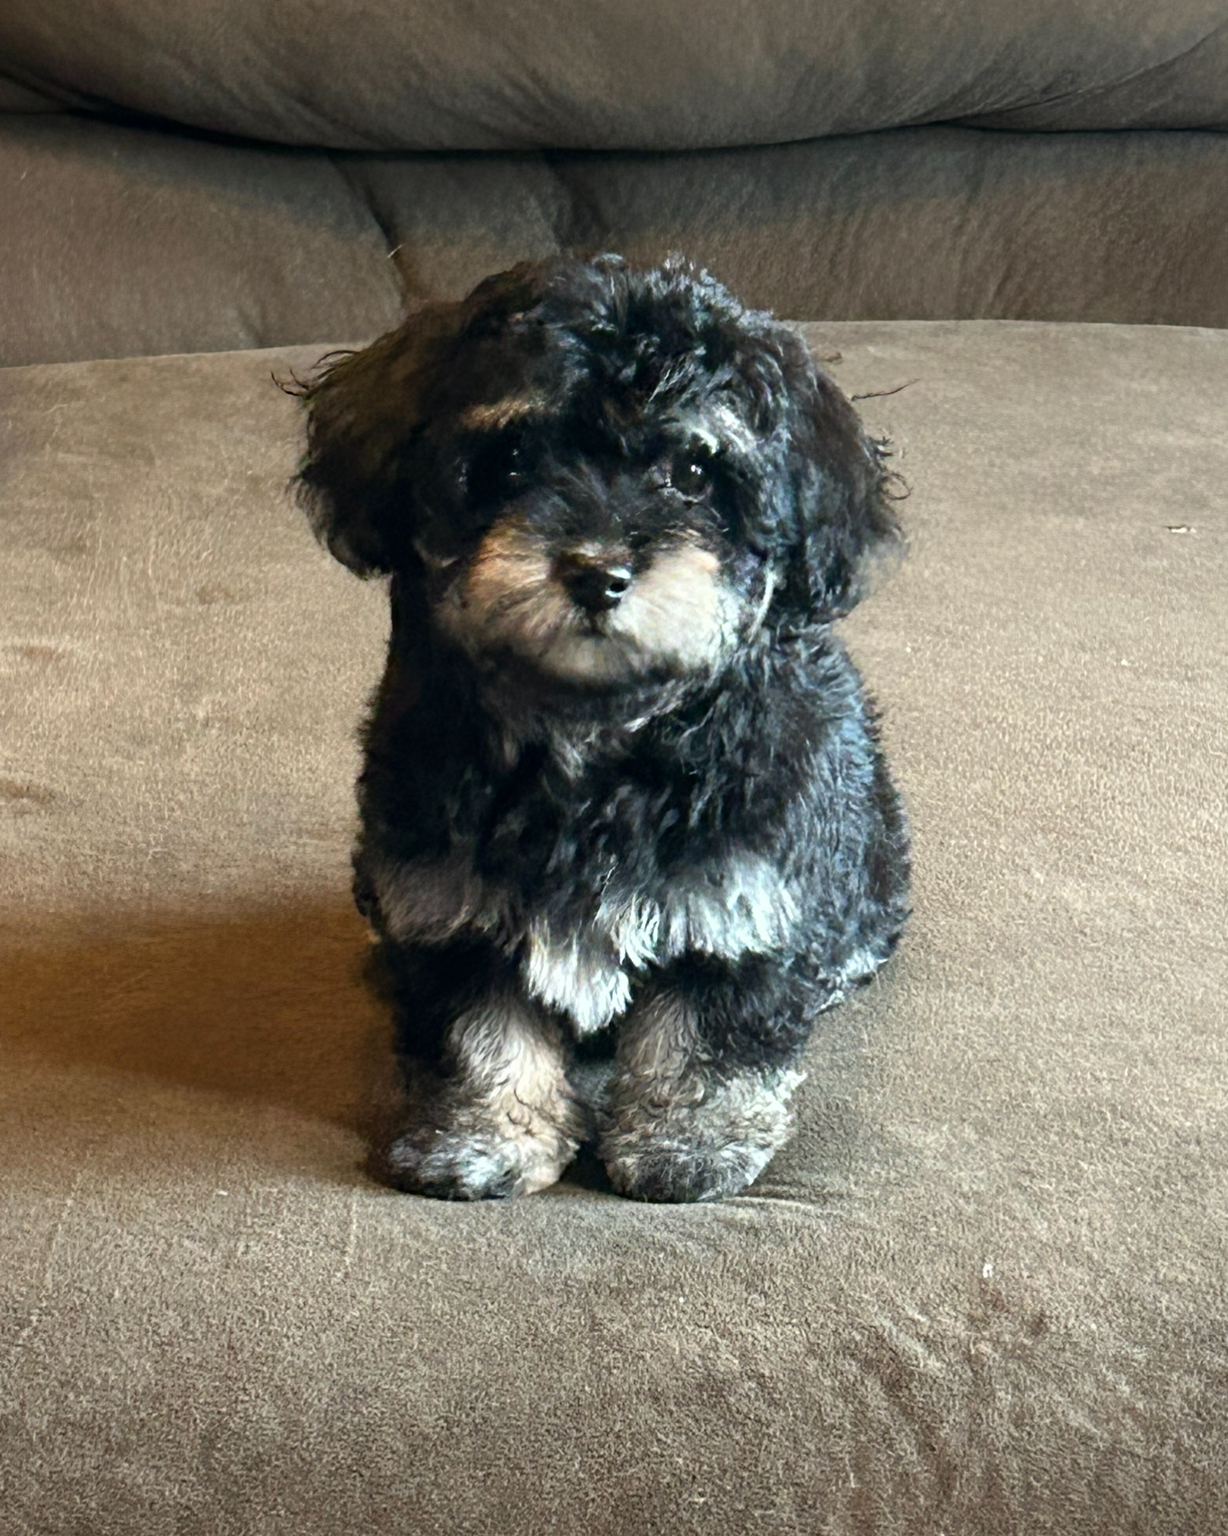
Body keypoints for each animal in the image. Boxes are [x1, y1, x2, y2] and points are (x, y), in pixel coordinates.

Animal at [296, 254, 909, 1198]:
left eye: (694, 472)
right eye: (511, 458)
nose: (597, 569)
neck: (594, 735)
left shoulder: (743, 894)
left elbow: (709, 1026)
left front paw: (688, 1141)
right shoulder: (446, 899)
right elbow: (479, 1029)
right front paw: (485, 1138)